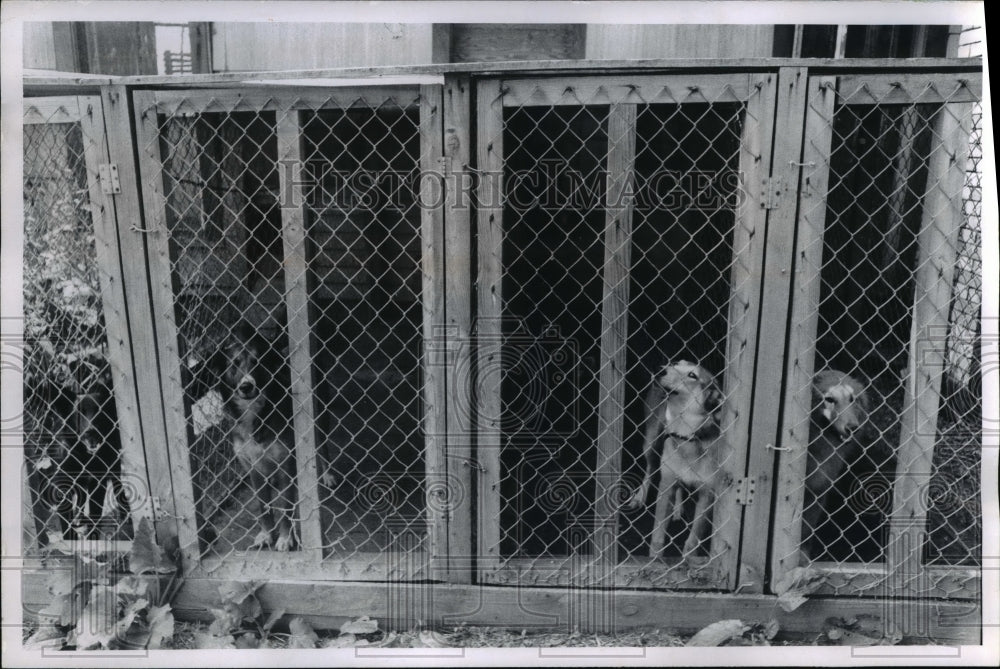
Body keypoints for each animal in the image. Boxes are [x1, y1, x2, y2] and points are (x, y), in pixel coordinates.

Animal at [624, 360, 728, 560]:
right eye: (676, 363)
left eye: (692, 375)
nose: (659, 368)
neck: (686, 435)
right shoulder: (666, 485)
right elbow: (657, 535)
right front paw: (655, 558)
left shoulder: (708, 496)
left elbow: (693, 539)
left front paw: (689, 558)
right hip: (651, 442)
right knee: (650, 470)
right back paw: (639, 498)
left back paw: (678, 509)